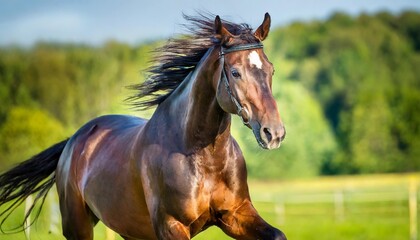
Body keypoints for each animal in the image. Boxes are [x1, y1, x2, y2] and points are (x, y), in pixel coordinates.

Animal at [0, 13, 286, 240]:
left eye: (271, 70)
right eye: (235, 72)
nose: (273, 133)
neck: (203, 158)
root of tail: (74, 141)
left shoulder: (235, 214)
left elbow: (277, 235)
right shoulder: (171, 226)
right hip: (77, 225)